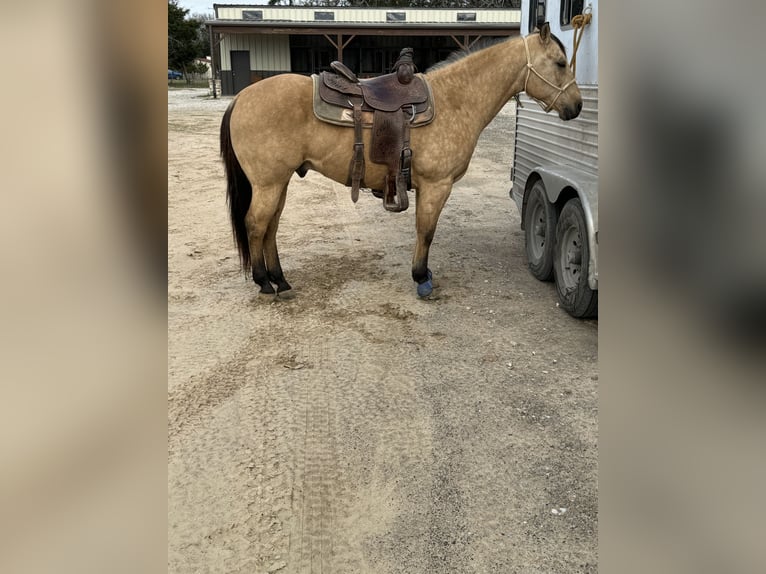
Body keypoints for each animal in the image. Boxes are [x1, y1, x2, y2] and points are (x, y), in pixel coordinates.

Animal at [219, 21, 580, 302]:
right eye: (561, 63)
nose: (576, 106)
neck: (456, 99)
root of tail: (241, 98)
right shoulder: (436, 186)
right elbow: (426, 231)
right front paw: (422, 278)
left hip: (278, 182)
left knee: (270, 226)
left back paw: (280, 279)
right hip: (268, 183)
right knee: (256, 225)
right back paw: (264, 282)